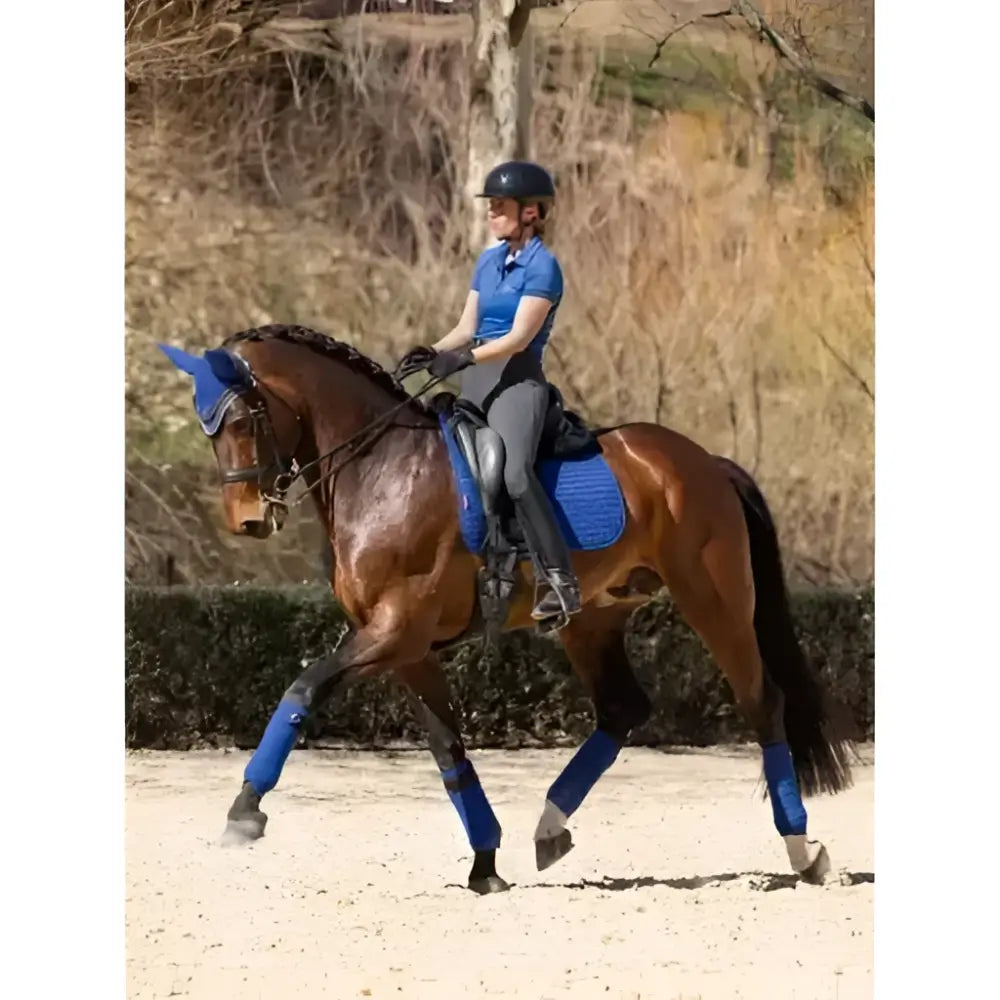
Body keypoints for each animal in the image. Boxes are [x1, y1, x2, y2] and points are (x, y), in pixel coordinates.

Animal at [159, 323, 854, 894]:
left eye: (242, 422)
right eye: (207, 428)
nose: (249, 521)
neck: (381, 469)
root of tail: (704, 461)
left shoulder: (393, 631)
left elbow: (302, 689)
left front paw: (244, 811)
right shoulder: (405, 649)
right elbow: (448, 752)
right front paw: (486, 864)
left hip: (715, 602)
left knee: (762, 703)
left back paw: (802, 850)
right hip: (593, 618)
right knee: (623, 710)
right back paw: (549, 828)